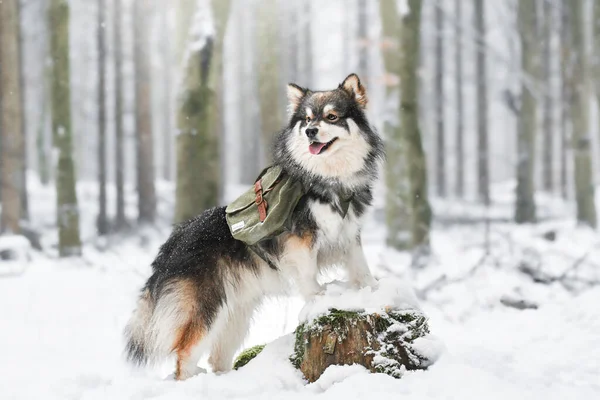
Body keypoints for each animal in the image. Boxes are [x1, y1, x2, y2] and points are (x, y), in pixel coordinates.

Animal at [125, 73, 384, 380]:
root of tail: (173, 240)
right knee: (184, 356)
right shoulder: (301, 243)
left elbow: (361, 268)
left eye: (332, 116)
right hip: (206, 309)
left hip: (235, 314)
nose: (311, 131)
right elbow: (309, 277)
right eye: (307, 119)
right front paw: (319, 299)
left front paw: (373, 289)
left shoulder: (350, 234)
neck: (327, 180)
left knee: (217, 358)